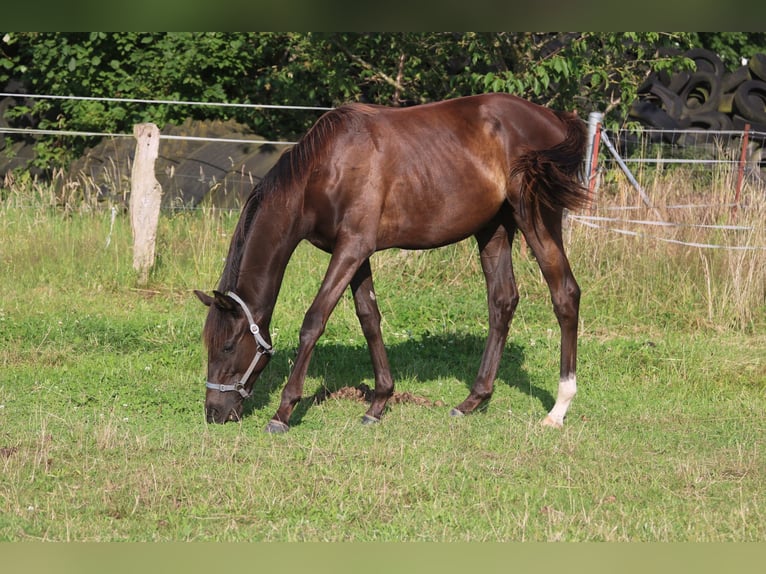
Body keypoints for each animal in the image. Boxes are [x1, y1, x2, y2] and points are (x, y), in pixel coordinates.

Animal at [195, 92, 592, 434]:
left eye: (227, 346)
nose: (214, 412)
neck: (325, 168)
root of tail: (554, 117)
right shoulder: (356, 252)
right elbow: (369, 319)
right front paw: (378, 403)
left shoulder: (351, 249)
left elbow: (314, 320)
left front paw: (283, 411)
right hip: (493, 229)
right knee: (502, 301)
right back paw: (472, 401)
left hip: (535, 217)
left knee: (565, 294)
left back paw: (558, 409)